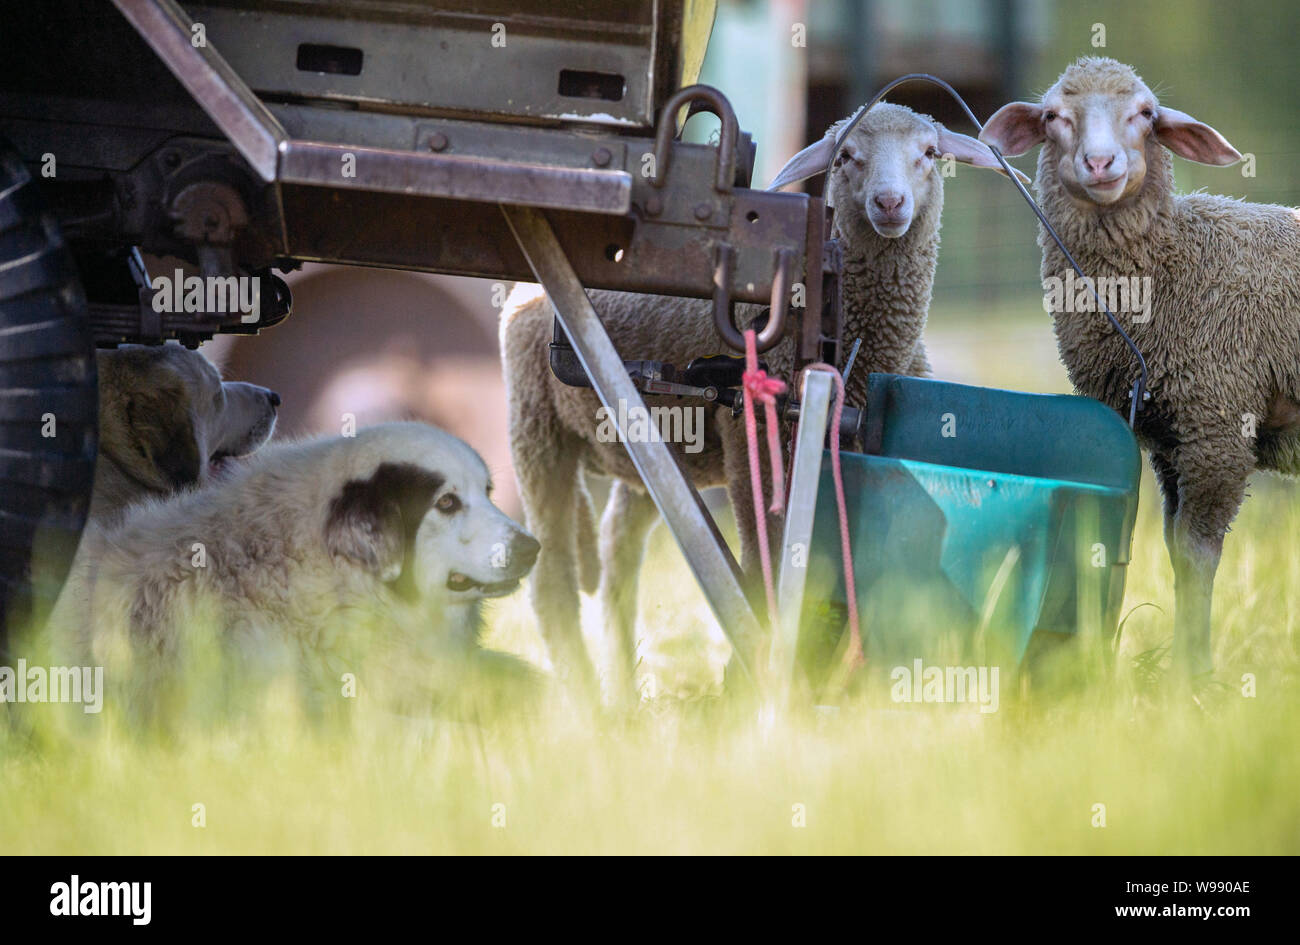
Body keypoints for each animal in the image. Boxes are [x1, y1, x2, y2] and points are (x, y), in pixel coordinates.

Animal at [501, 103, 1019, 696]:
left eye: (930, 153)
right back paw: (588, 699)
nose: (890, 203)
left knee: (617, 556)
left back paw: (626, 692)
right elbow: (760, 559)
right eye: (845, 156)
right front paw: (754, 670)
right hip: (536, 428)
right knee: (552, 582)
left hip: (650, 436)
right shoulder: (750, 441)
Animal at [977, 59, 1300, 675]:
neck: (1175, 262)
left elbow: (1197, 555)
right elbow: (1174, 551)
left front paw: (1192, 678)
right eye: (1053, 116)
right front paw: (1188, 663)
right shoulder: (1171, 440)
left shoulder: (1218, 428)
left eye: (1146, 113)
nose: (1101, 163)